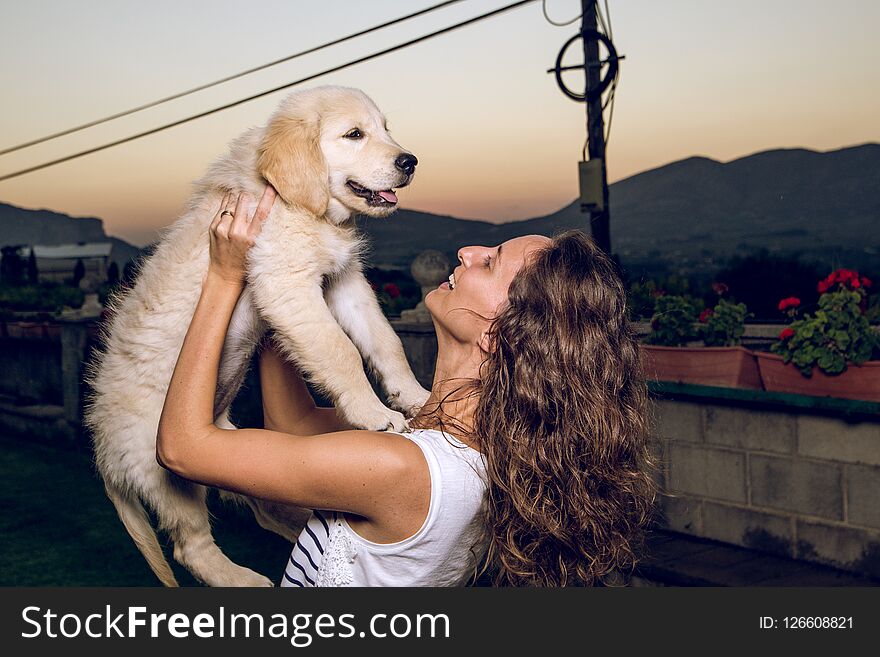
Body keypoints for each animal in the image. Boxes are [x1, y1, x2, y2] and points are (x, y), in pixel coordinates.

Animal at [87, 86, 432, 584]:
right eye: (354, 134)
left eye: (385, 128)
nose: (410, 161)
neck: (304, 208)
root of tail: (102, 447)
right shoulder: (286, 282)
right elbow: (341, 351)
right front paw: (374, 414)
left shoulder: (344, 280)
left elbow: (385, 341)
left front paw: (415, 395)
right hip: (164, 470)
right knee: (191, 547)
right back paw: (243, 577)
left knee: (267, 507)